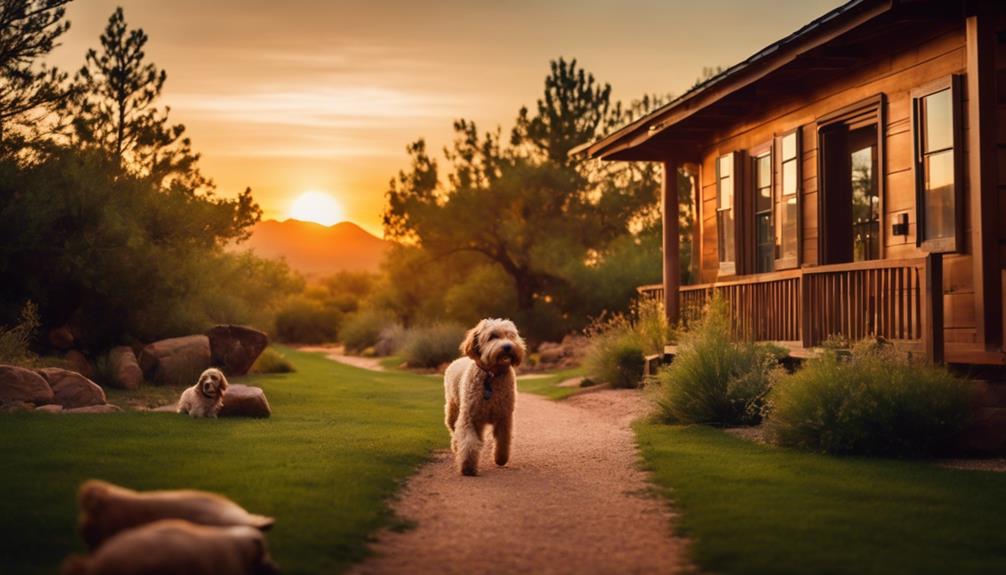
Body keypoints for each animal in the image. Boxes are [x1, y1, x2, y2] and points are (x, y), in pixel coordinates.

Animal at [446, 317, 531, 474]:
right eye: (492, 336)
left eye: (511, 336)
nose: (508, 346)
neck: (492, 375)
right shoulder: (469, 417)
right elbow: (468, 440)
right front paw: (467, 465)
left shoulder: (504, 417)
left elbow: (503, 440)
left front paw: (501, 458)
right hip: (453, 411)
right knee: (454, 431)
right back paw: (456, 446)